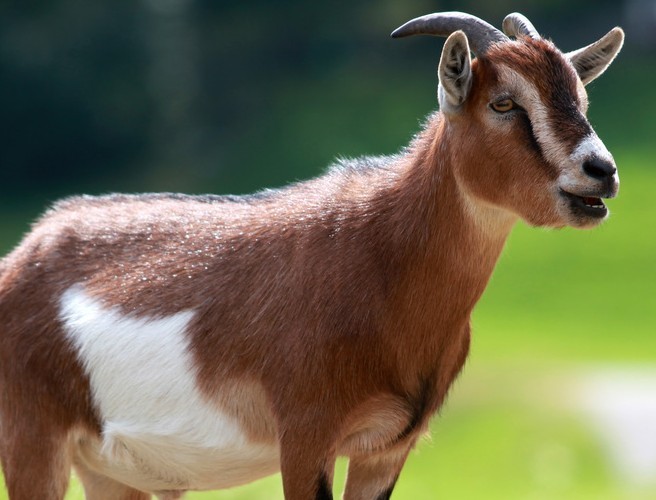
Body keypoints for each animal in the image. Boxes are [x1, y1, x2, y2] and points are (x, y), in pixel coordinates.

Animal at [0, 11, 624, 500]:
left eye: (580, 98)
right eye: (502, 103)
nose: (602, 172)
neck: (381, 258)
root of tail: (25, 254)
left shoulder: (385, 449)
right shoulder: (304, 437)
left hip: (111, 472)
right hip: (31, 441)